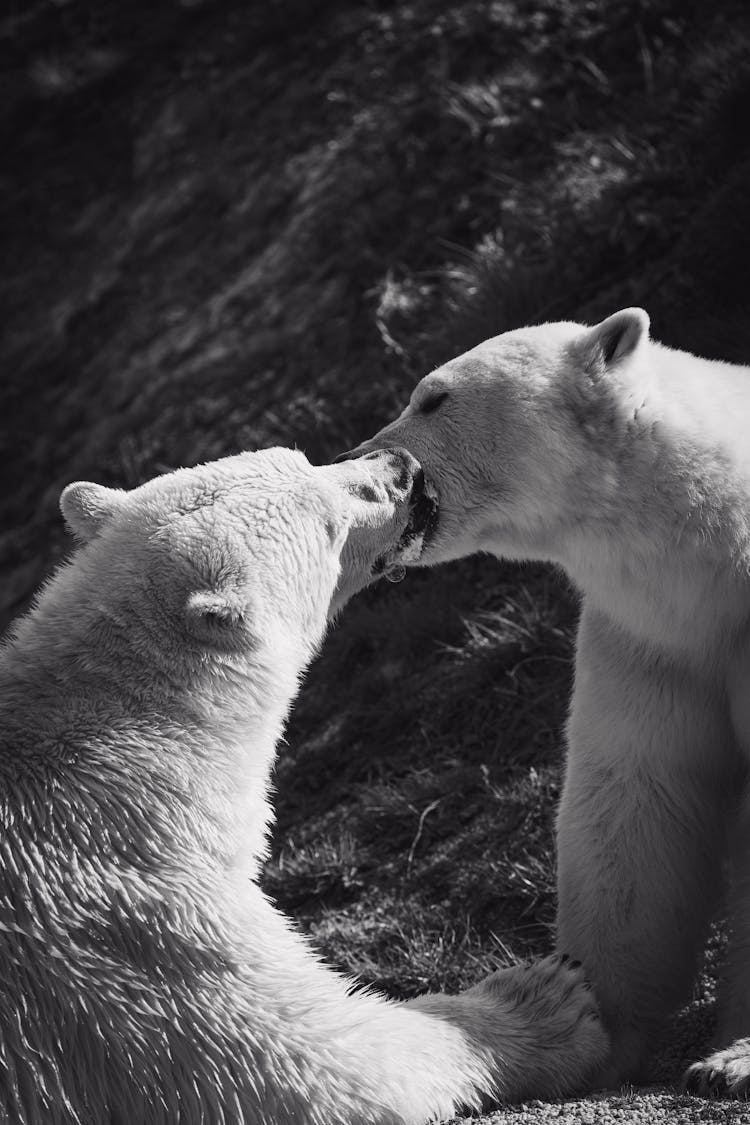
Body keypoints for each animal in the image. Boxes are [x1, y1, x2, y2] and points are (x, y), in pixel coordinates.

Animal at [0, 447, 602, 1125]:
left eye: (300, 457)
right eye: (330, 525)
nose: (399, 465)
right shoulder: (130, 940)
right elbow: (308, 1063)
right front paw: (546, 1001)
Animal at [344, 308, 750, 1098]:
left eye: (433, 397)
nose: (359, 455)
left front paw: (731, 1059)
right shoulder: (652, 641)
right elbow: (636, 801)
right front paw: (584, 1027)